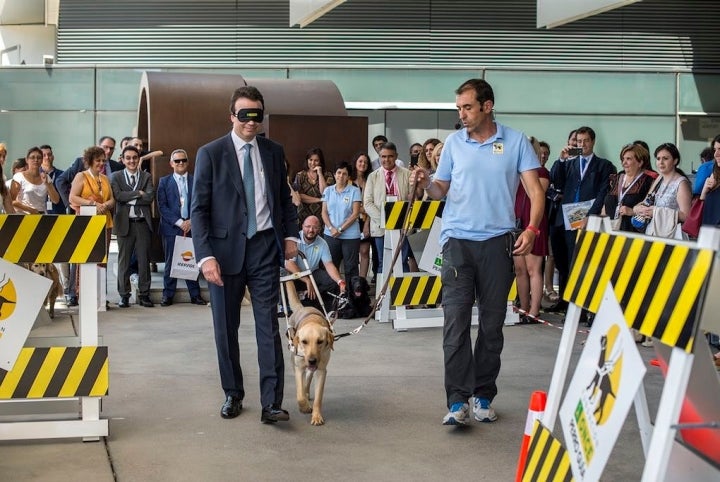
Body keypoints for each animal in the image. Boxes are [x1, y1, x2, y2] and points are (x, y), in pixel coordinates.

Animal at [284, 282, 334, 426]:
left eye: (320, 341)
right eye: (304, 342)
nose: (312, 360)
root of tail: (302, 307)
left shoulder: (321, 371)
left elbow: (318, 398)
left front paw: (316, 416)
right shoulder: (299, 368)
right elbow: (299, 395)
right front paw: (304, 407)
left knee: (308, 379)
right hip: (295, 362)